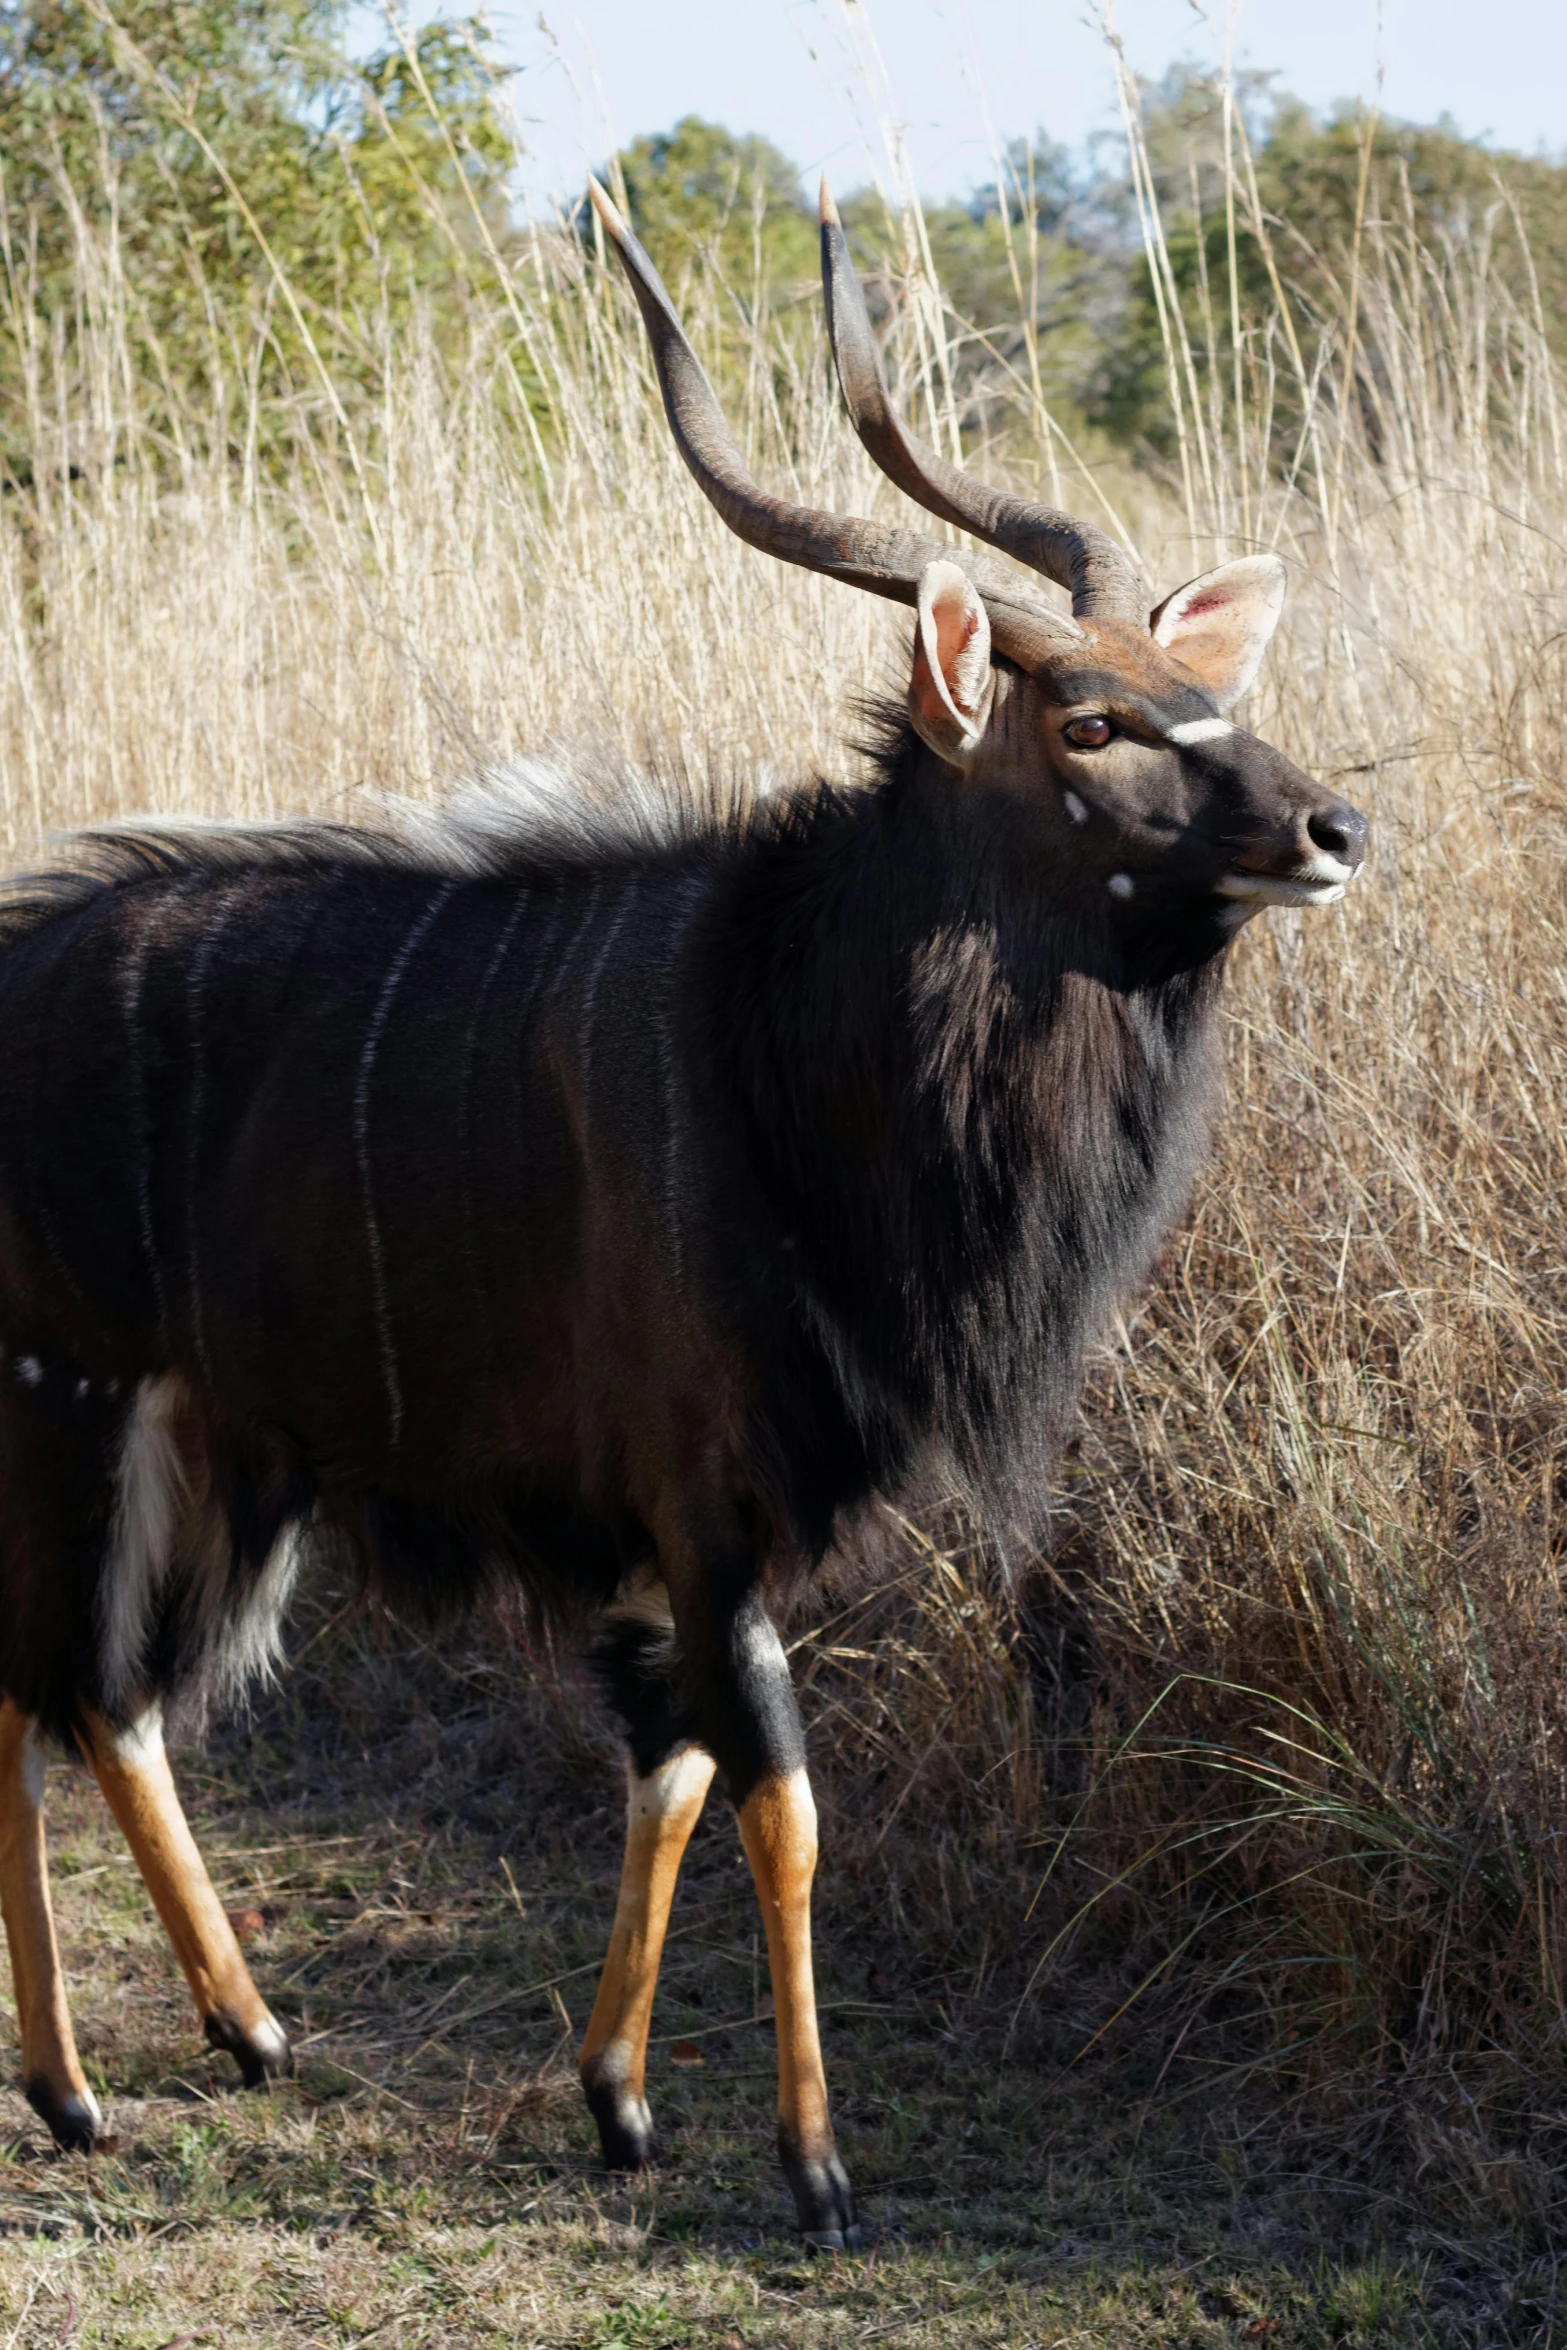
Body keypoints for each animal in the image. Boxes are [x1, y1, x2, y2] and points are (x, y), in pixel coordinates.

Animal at [0, 178, 1362, 2237]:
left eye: (1214, 696)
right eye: (1093, 723)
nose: (1330, 830)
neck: (784, 1040)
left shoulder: (691, 1533)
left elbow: (668, 1774)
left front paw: (621, 2099)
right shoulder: (708, 1501)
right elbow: (777, 1793)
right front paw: (810, 2165)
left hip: (222, 1446)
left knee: (110, 1695)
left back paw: (234, 2034)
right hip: (72, 1402)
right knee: (46, 1683)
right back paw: (82, 2086)